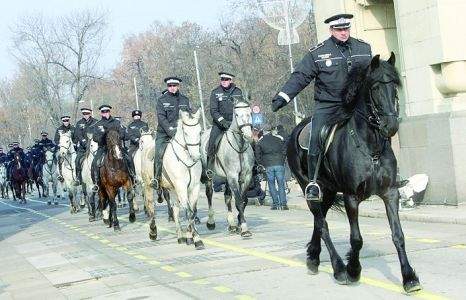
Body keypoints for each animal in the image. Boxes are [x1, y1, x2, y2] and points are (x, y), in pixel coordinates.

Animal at [156, 109, 203, 250]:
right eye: (186, 133)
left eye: (200, 132)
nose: (196, 156)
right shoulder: (181, 187)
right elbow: (189, 212)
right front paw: (196, 239)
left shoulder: (194, 187)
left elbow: (192, 211)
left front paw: (190, 237)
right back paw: (152, 232)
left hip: (172, 189)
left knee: (176, 209)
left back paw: (180, 236)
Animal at [198, 101, 253, 237]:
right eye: (237, 114)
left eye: (250, 113)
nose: (249, 135)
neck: (239, 147)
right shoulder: (232, 176)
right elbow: (238, 201)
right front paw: (244, 228)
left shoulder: (246, 177)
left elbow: (243, 200)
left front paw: (239, 224)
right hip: (210, 176)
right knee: (209, 194)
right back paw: (211, 222)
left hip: (227, 178)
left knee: (227, 197)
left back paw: (232, 225)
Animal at [290, 53, 420, 292]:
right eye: (375, 87)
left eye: (394, 86)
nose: (390, 126)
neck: (370, 147)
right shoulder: (351, 197)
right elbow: (356, 239)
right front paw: (353, 270)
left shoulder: (390, 193)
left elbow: (398, 235)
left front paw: (409, 278)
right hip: (309, 189)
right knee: (322, 225)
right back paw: (339, 269)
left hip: (329, 192)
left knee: (319, 221)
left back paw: (313, 258)